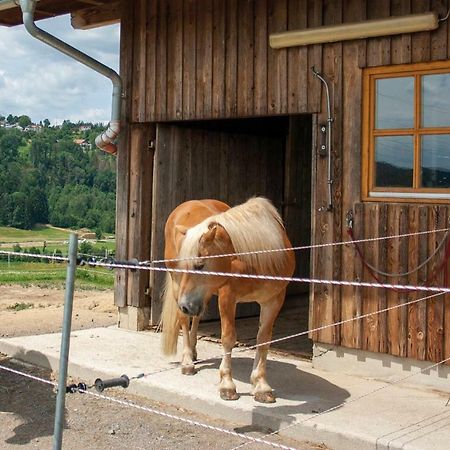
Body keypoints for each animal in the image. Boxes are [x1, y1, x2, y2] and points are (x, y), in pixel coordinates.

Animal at [159, 199, 296, 402]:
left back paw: (193, 350)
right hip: (178, 285)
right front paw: (227, 385)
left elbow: (263, 340)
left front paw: (261, 386)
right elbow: (228, 338)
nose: (184, 305)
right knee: (184, 320)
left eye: (200, 265)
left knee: (196, 317)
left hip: (201, 296)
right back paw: (188, 361)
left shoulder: (273, 301)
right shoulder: (227, 297)